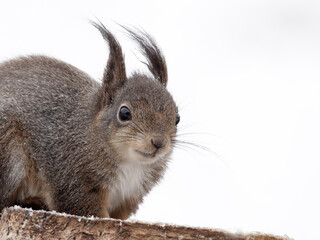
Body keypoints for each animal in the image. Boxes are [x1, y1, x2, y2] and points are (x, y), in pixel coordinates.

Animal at [0, 22, 180, 219]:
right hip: (9, 150)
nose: (159, 143)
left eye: (177, 118)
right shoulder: (74, 177)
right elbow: (83, 207)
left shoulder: (128, 198)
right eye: (124, 113)